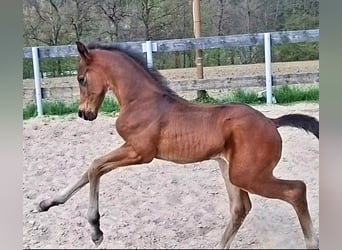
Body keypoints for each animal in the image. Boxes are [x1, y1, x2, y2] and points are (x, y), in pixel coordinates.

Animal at [37, 41, 318, 248]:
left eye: (80, 79)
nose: (84, 114)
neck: (141, 100)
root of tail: (272, 122)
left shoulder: (140, 152)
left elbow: (95, 167)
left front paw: (96, 230)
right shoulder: (132, 149)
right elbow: (90, 169)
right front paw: (47, 203)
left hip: (248, 175)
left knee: (296, 190)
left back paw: (312, 242)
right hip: (230, 169)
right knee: (241, 208)